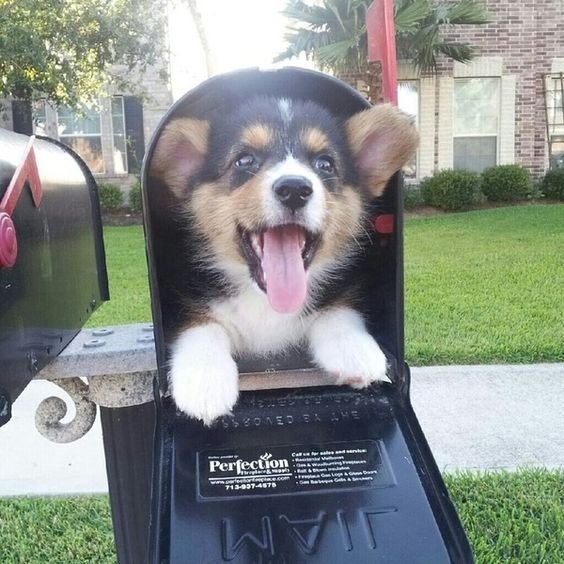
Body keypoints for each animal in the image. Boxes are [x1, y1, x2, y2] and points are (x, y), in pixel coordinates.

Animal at [151, 96, 418, 424]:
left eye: (325, 164)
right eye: (244, 160)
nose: (294, 189)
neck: (265, 301)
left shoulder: (345, 290)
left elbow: (338, 309)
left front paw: (353, 349)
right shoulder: (182, 299)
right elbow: (201, 324)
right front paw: (204, 379)